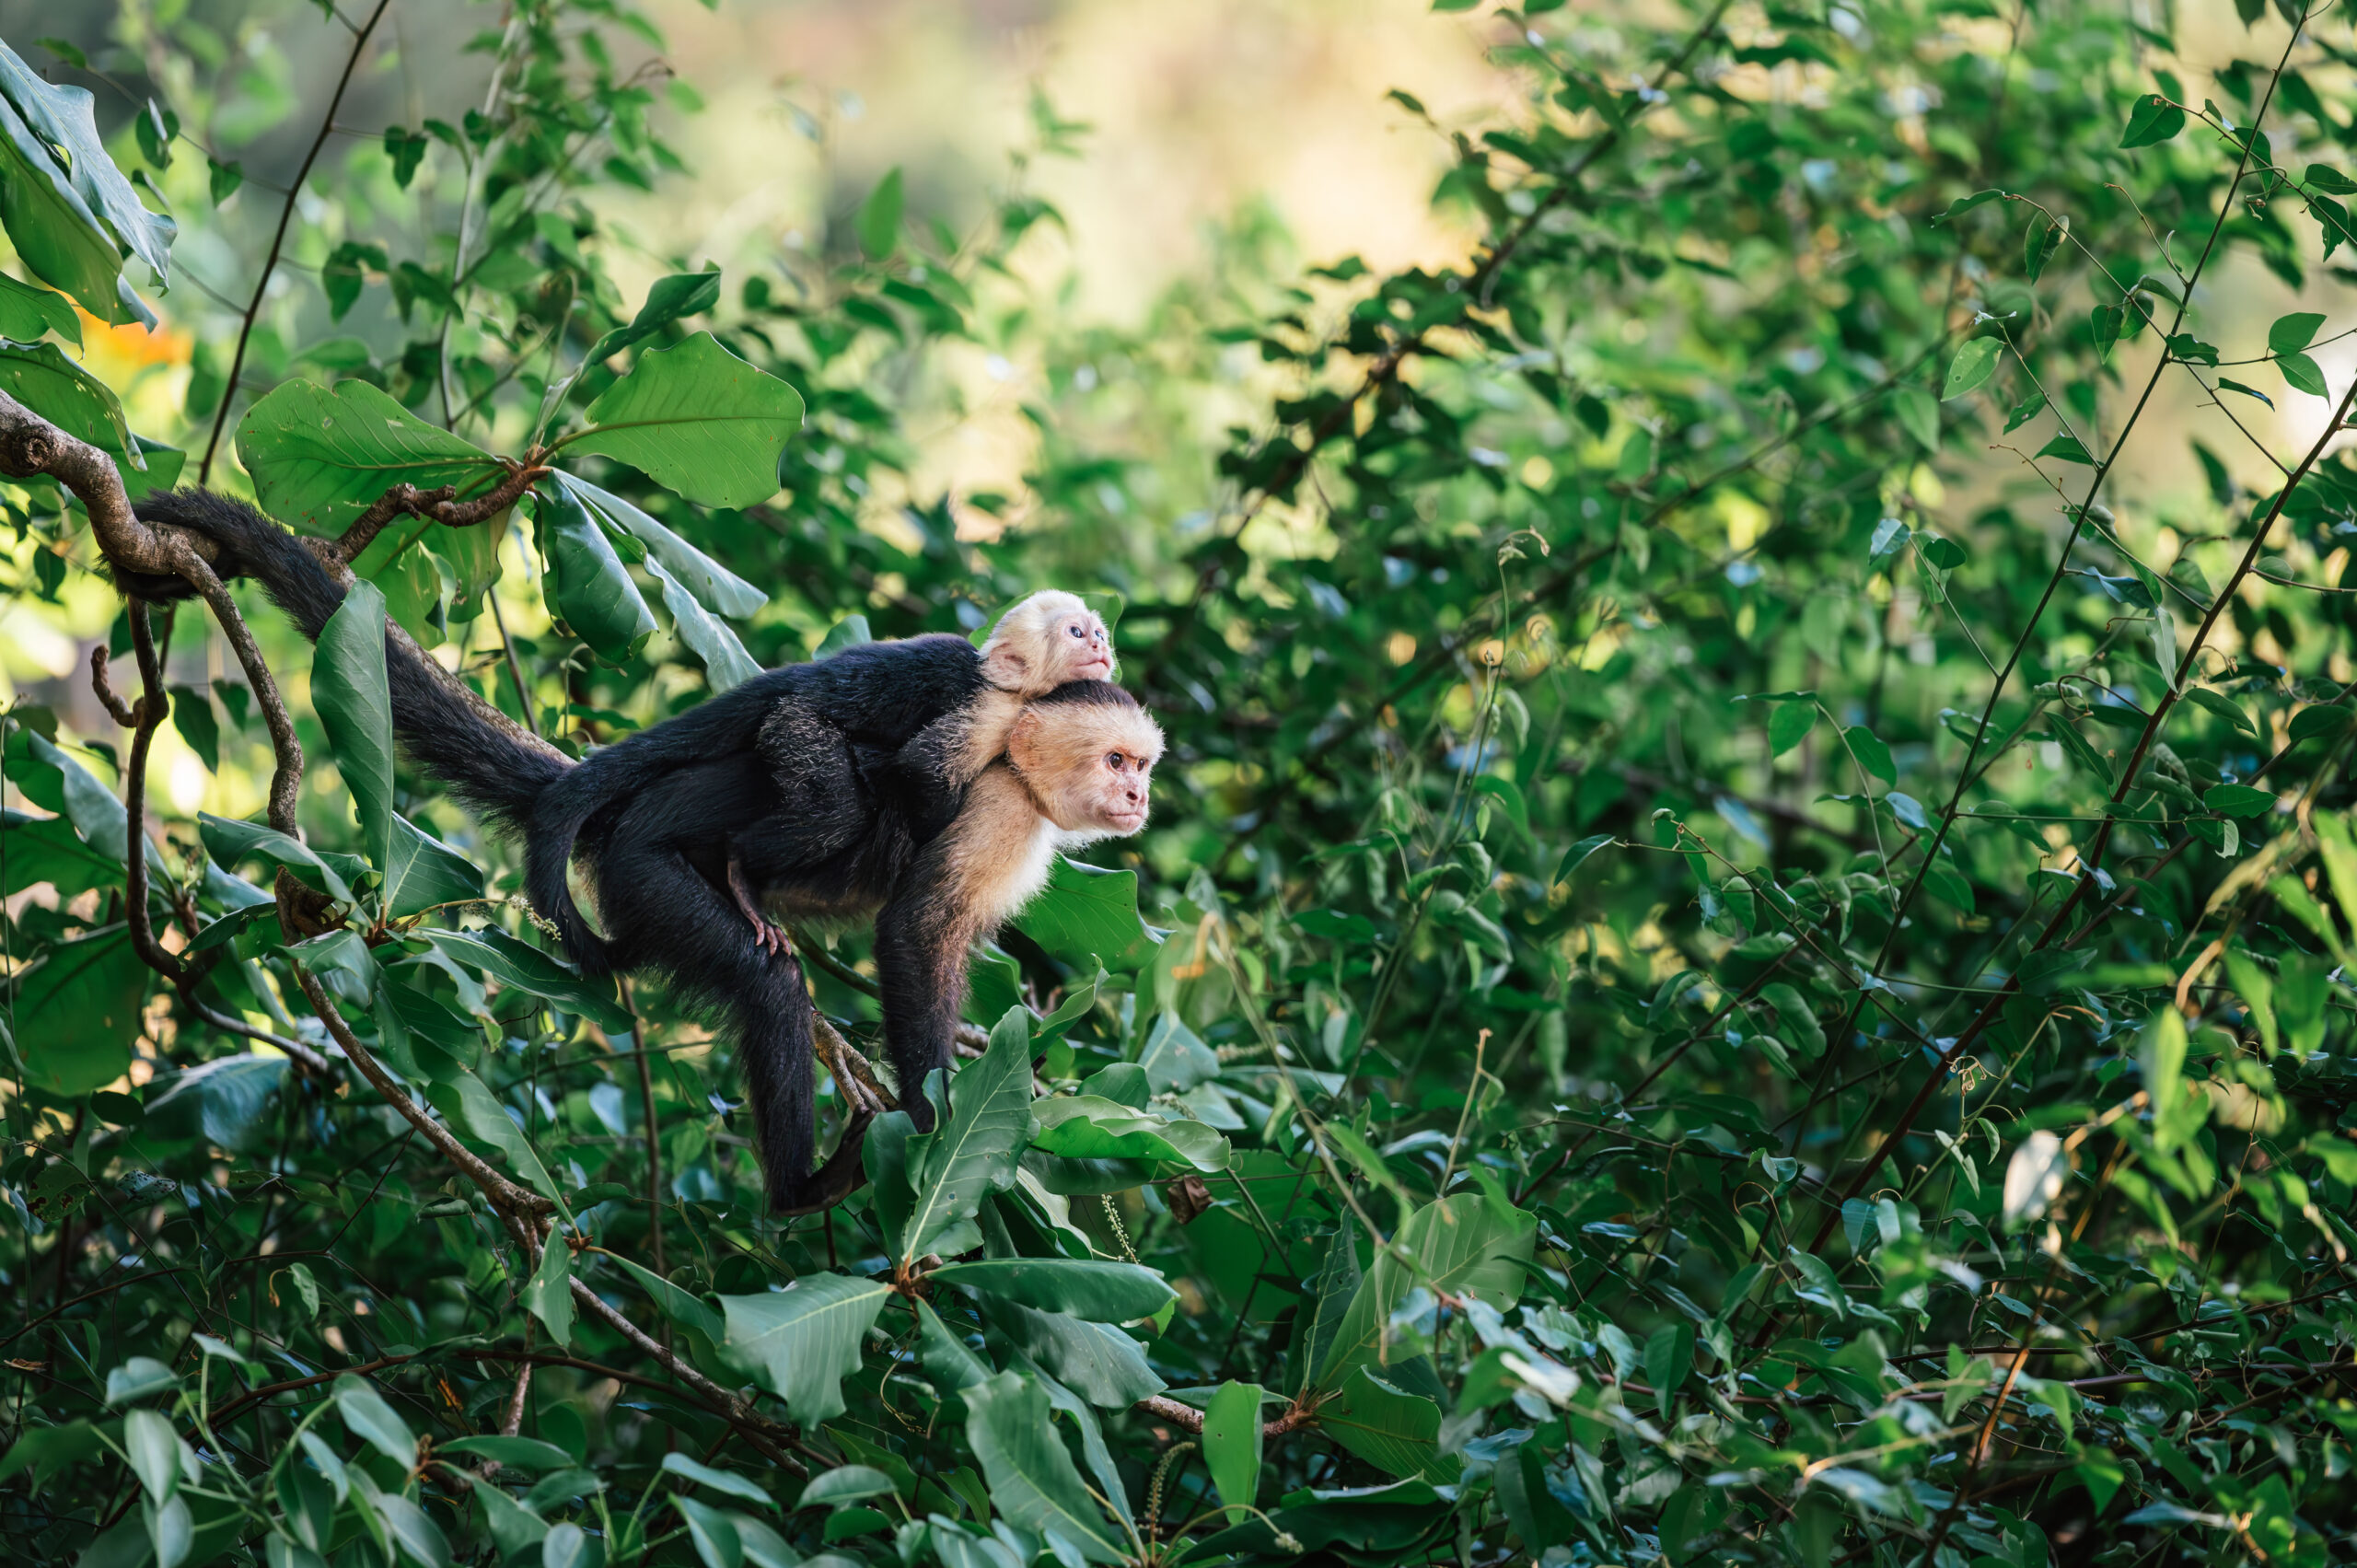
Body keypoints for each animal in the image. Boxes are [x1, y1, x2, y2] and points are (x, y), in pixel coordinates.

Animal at [118, 488, 1161, 1209]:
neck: (1022, 752)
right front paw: (936, 1117)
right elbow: (916, 925)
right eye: (1117, 759)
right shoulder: (991, 782)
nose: (1138, 797)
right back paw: (800, 1182)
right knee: (768, 969)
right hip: (646, 874)